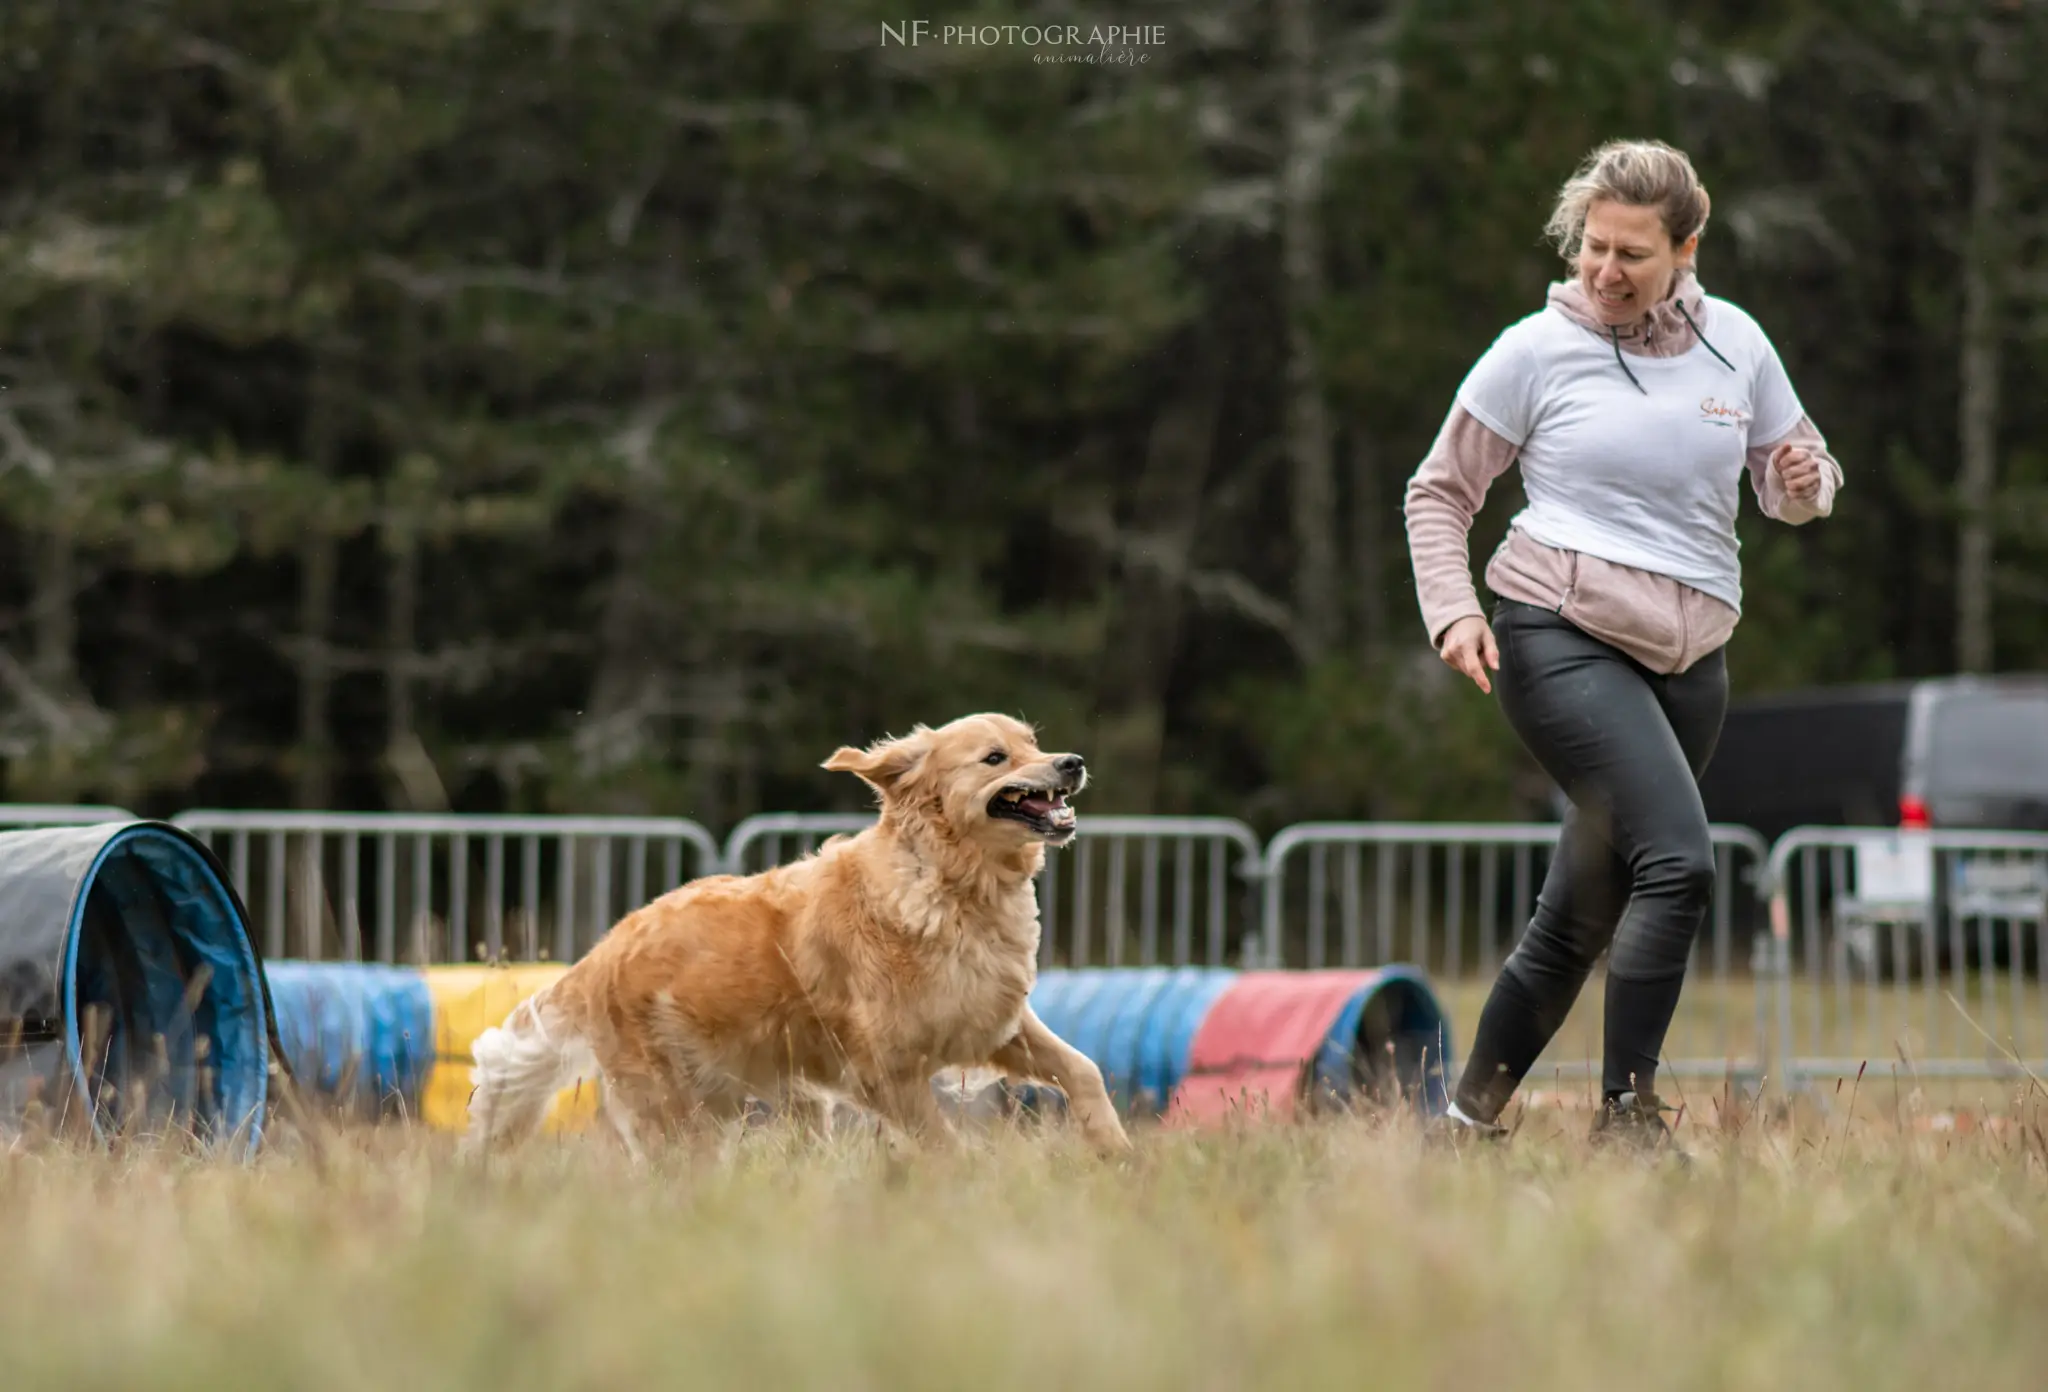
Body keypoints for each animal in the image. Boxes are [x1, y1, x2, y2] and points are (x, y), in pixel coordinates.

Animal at [464, 712, 1138, 1154]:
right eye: (995, 757)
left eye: (1033, 743)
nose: (1072, 763)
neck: (955, 887)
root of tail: (601, 953)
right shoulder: (888, 1073)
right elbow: (945, 1147)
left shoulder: (994, 1022)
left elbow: (1083, 1069)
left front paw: (1116, 1153)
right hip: (680, 1113)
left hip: (787, 1101)